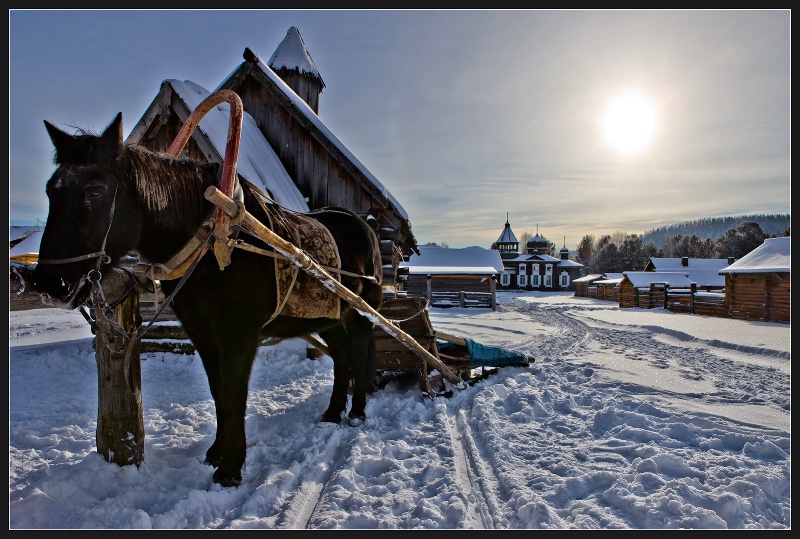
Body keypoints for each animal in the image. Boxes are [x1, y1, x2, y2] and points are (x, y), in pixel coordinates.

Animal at [29, 114, 382, 490]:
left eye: (95, 191)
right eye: (51, 190)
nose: (49, 283)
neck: (213, 243)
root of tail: (365, 226)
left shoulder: (239, 336)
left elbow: (233, 393)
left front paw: (230, 469)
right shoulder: (203, 334)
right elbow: (217, 391)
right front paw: (216, 452)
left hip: (362, 313)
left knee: (360, 351)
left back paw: (357, 410)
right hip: (330, 315)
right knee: (342, 353)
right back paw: (333, 411)